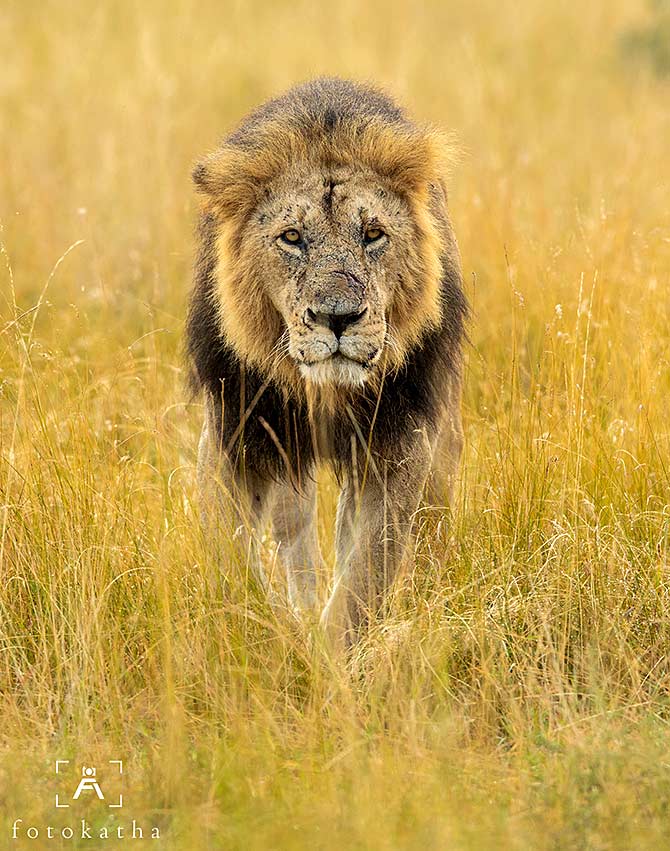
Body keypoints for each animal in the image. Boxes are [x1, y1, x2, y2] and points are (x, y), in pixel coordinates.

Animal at [184, 78, 468, 644]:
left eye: (373, 234)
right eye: (292, 237)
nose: (338, 318)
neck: (323, 389)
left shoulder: (397, 445)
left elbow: (364, 577)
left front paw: (333, 657)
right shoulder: (234, 432)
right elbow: (229, 557)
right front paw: (259, 637)